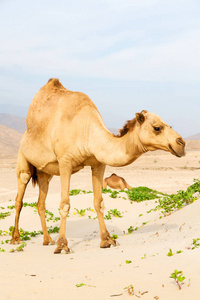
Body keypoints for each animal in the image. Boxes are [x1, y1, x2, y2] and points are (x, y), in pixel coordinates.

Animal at [10, 77, 186, 253]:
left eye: (169, 125)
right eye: (157, 128)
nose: (181, 143)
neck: (87, 132)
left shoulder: (98, 163)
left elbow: (99, 202)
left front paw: (107, 240)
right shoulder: (65, 161)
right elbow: (65, 204)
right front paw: (62, 245)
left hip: (44, 172)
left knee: (40, 202)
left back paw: (47, 240)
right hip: (23, 158)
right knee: (20, 197)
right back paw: (16, 239)